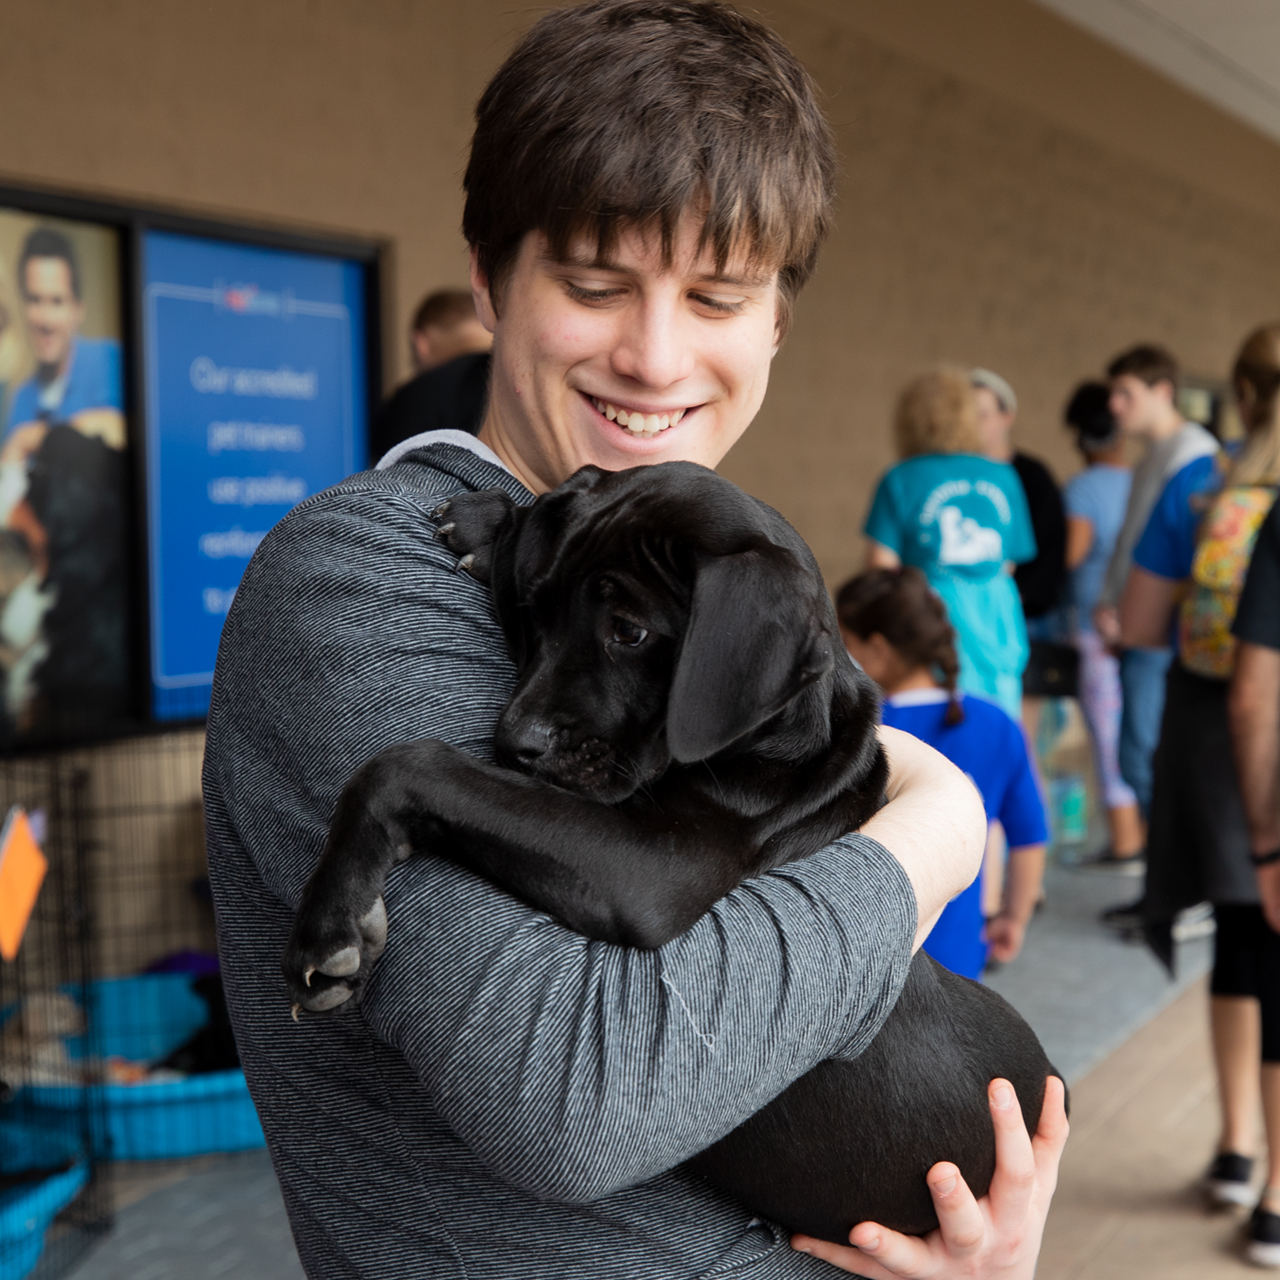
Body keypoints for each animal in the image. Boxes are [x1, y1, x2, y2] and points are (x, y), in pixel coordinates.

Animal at [282, 460, 1059, 1239]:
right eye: (538, 610)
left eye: (629, 632)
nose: (513, 743)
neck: (779, 743)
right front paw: (492, 521)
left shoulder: (652, 867)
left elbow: (411, 765)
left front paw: (328, 924)